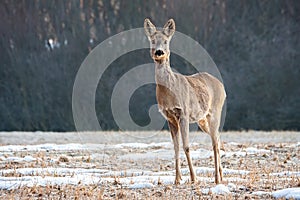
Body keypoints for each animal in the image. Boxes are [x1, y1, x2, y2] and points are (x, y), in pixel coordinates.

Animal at [144, 18, 226, 184]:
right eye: (153, 40)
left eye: (166, 41)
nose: (159, 52)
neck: (169, 92)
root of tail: (222, 86)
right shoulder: (169, 117)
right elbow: (175, 147)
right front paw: (177, 179)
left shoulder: (184, 113)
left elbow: (186, 145)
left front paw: (194, 178)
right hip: (202, 119)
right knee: (218, 139)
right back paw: (220, 174)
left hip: (215, 112)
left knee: (215, 143)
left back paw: (216, 178)